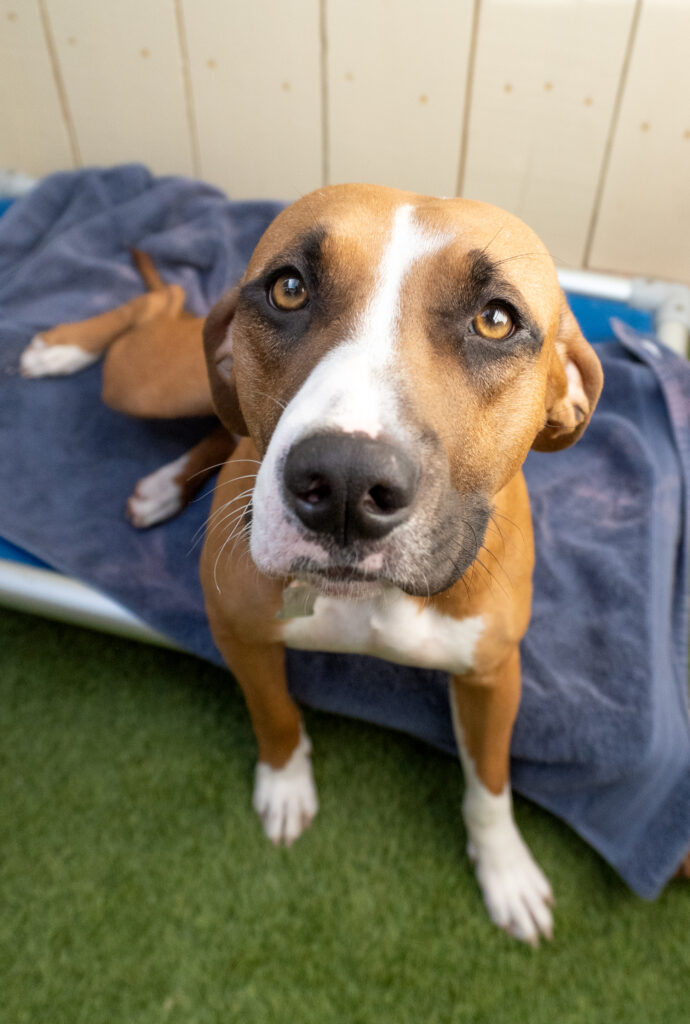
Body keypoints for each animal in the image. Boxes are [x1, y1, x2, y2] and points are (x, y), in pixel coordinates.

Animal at [26, 183, 664, 946]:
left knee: (215, 414)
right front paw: (285, 784)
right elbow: (274, 712)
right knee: (162, 309)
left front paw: (505, 868)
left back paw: (163, 480)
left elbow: (490, 782)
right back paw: (60, 349)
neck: (371, 601)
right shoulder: (238, 631)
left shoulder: (492, 674)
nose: (346, 483)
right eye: (289, 288)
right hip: (157, 380)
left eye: (496, 319)